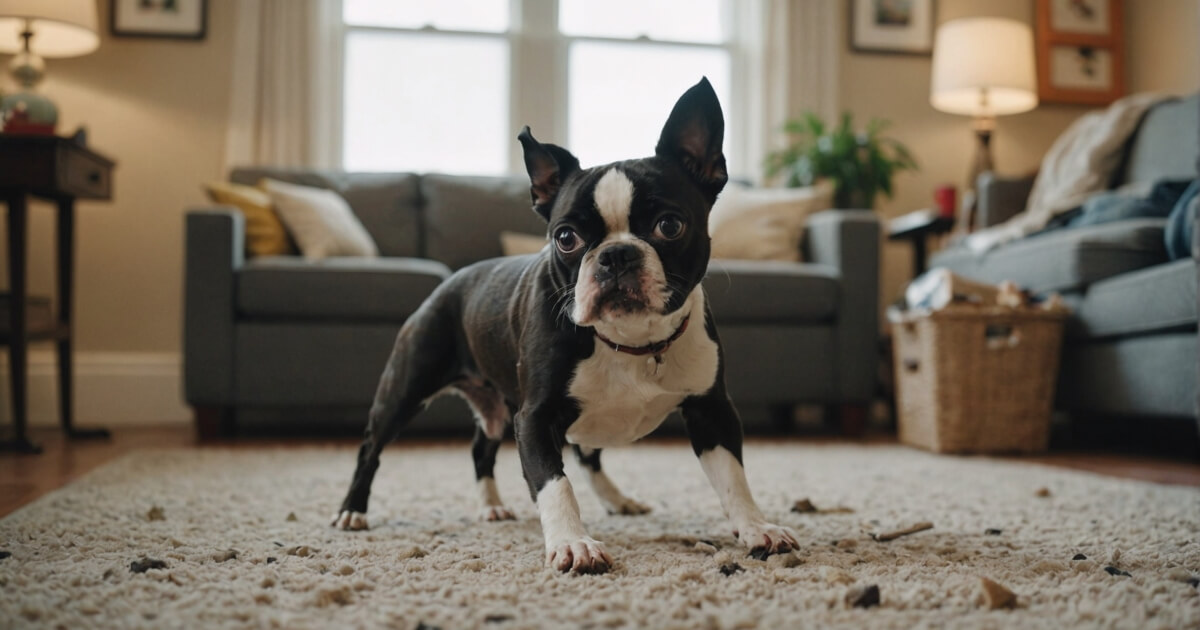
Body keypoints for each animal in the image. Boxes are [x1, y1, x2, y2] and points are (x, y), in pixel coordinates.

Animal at [333, 77, 796, 568]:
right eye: (566, 237)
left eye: (670, 225)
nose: (616, 255)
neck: (631, 342)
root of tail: (451, 282)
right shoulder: (535, 417)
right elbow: (555, 485)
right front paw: (573, 543)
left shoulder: (712, 411)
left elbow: (733, 478)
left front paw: (757, 528)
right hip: (407, 386)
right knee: (372, 448)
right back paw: (353, 511)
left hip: (504, 406)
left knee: (503, 448)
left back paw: (562, 502)